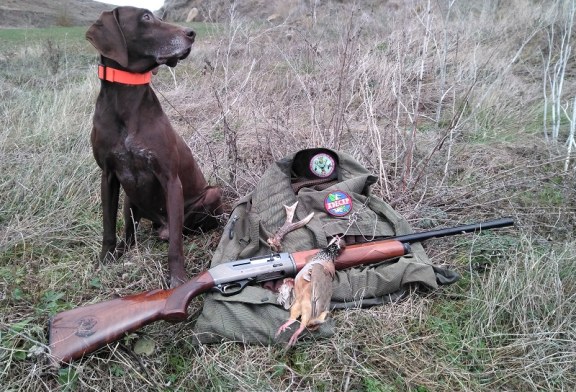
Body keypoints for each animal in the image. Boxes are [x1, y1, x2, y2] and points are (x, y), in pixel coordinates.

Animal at [86, 6, 223, 288]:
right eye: (146, 17)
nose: (191, 33)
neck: (125, 101)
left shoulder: (170, 179)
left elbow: (176, 245)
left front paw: (178, 281)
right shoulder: (108, 176)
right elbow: (108, 227)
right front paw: (105, 261)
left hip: (212, 194)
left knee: (181, 230)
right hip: (129, 199)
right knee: (131, 234)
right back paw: (124, 250)